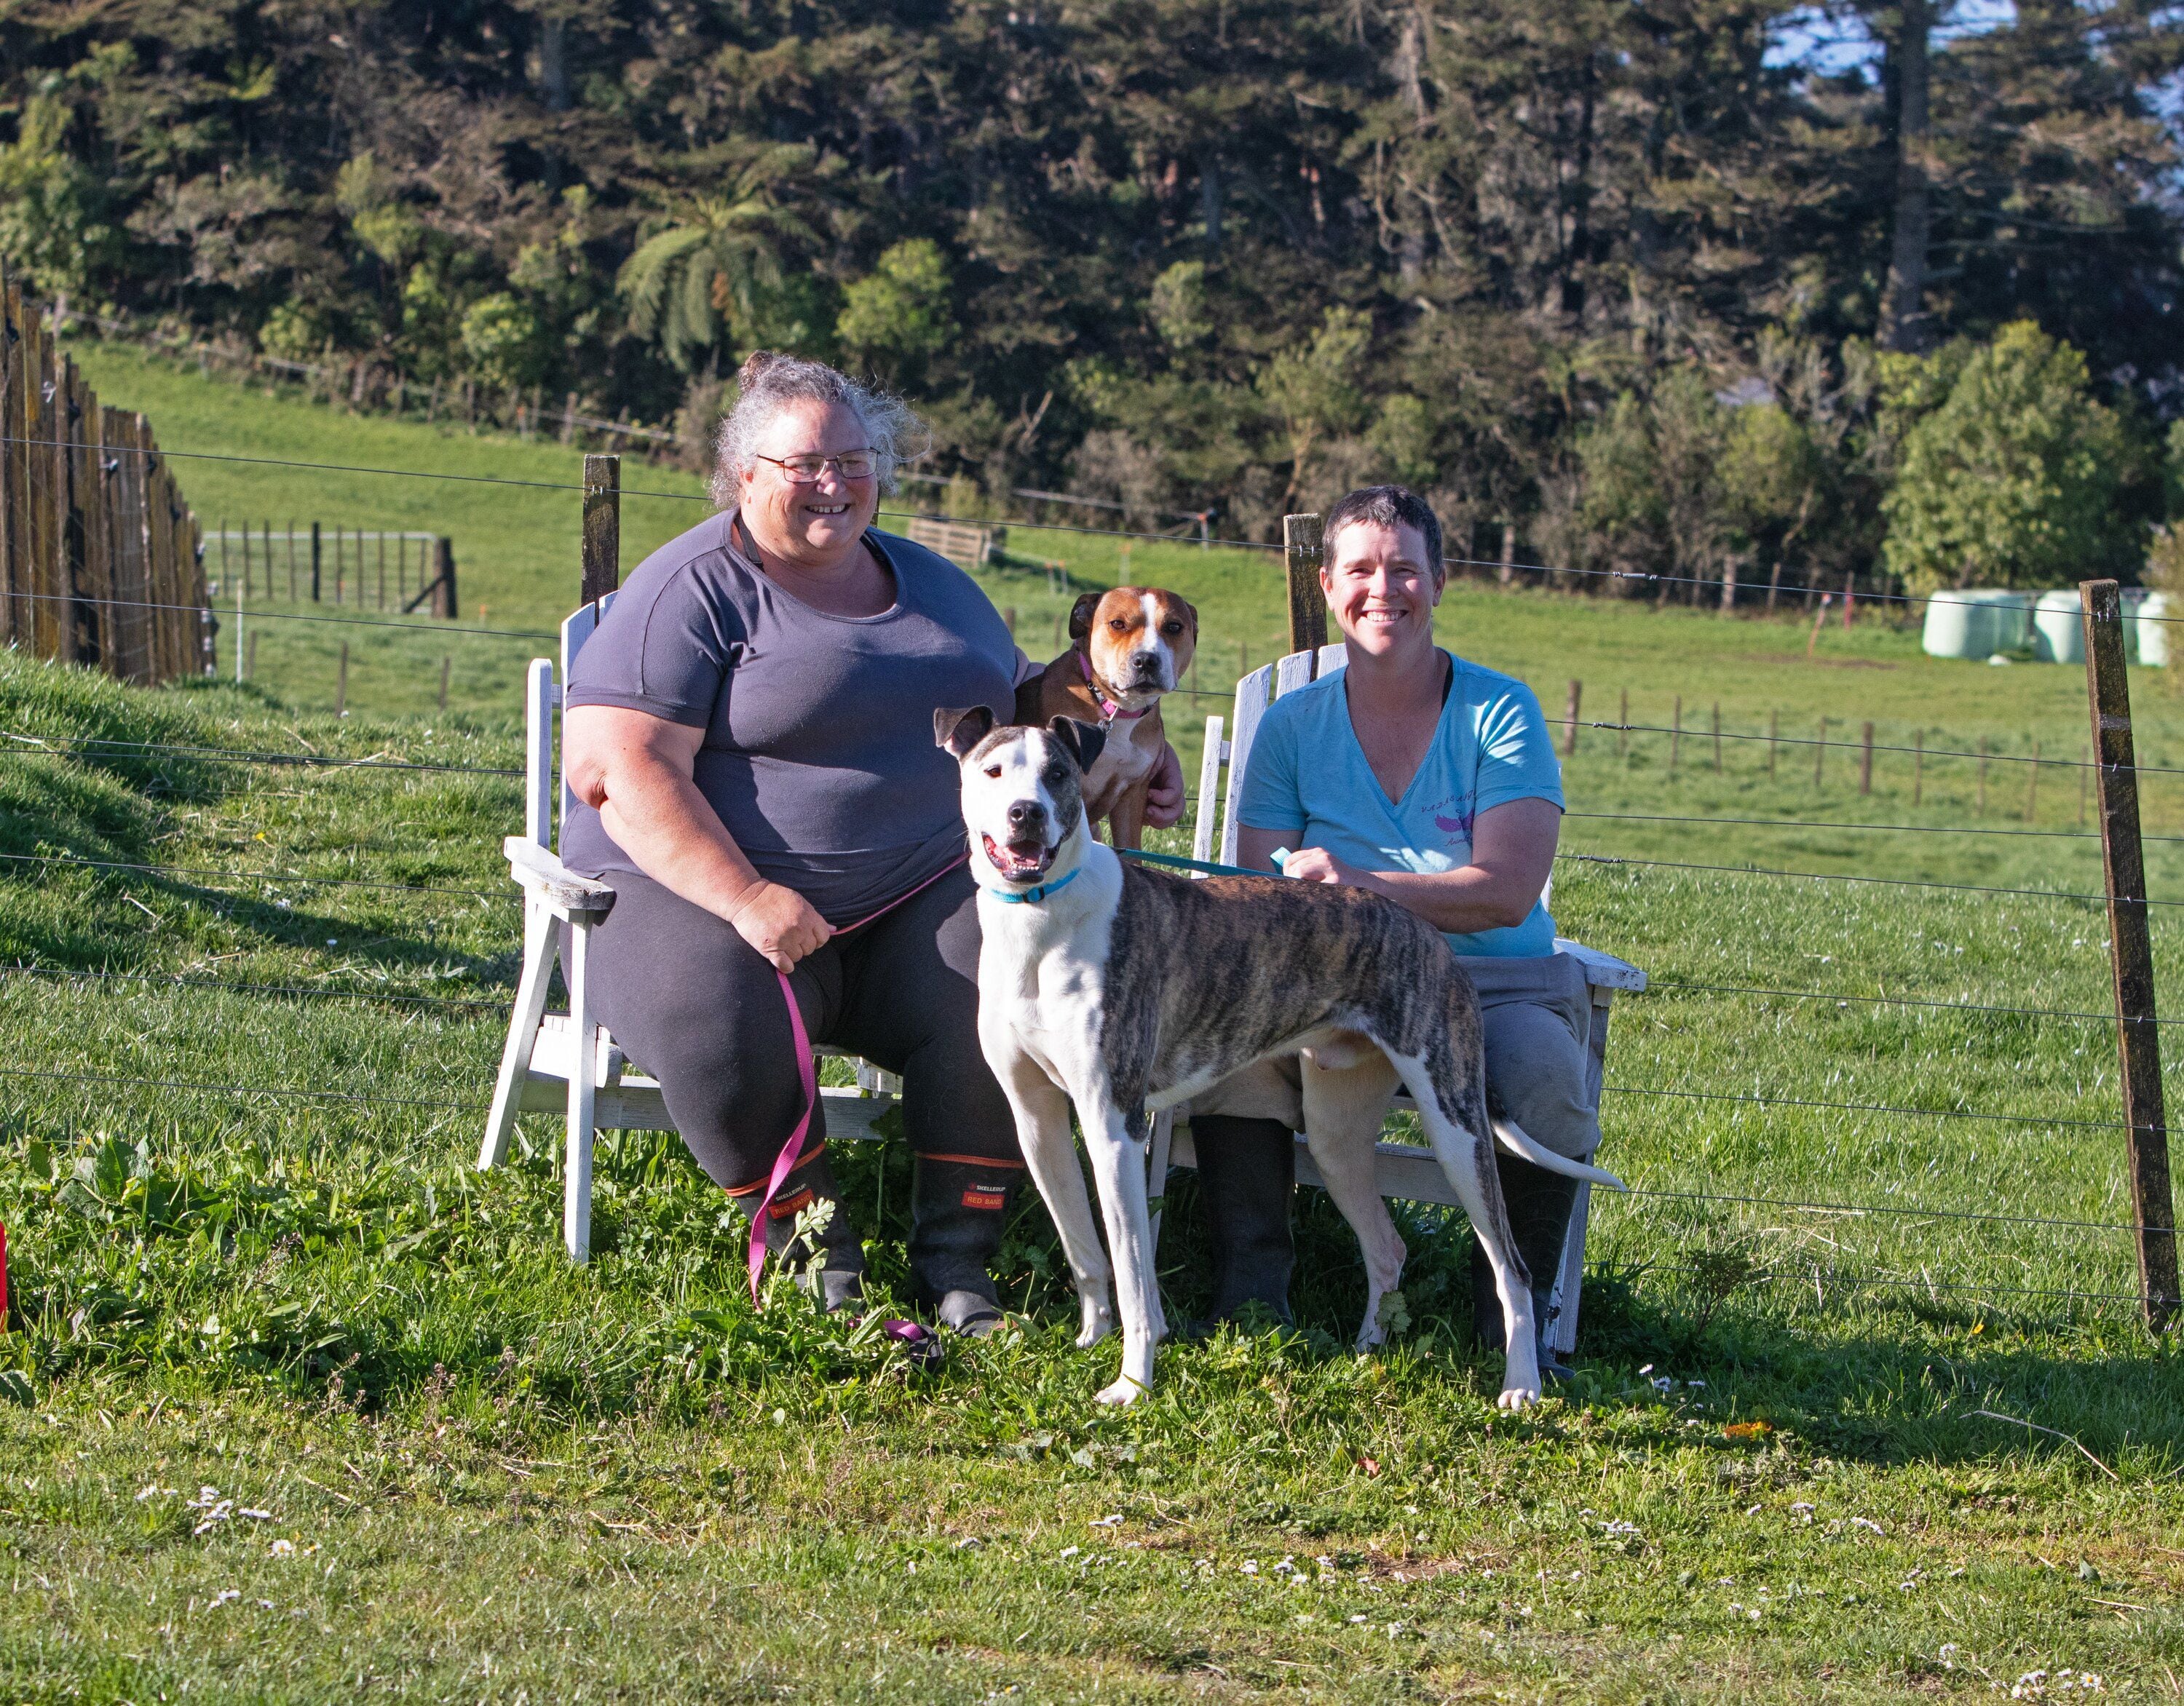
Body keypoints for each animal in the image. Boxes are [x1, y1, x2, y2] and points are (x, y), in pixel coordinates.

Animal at [939, 703, 1625, 1406]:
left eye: (1058, 774)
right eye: (994, 771)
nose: (1026, 814)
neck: (1042, 917)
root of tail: (1430, 935)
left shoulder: (1113, 1124)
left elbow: (1133, 1273)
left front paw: (1131, 1384)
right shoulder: (1037, 1118)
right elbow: (1084, 1248)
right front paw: (1089, 1341)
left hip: (1456, 1127)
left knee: (1512, 1268)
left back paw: (1522, 1386)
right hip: (1336, 1133)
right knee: (1387, 1247)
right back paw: (1367, 1353)